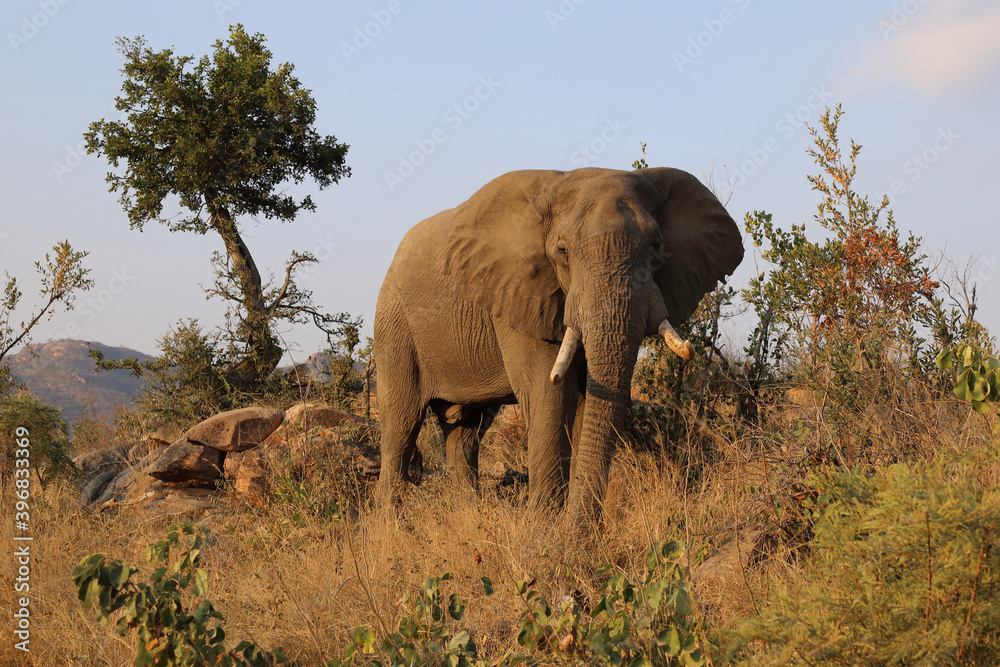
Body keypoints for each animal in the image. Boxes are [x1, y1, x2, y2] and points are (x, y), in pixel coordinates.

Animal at [374, 167, 743, 521]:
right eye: (562, 252)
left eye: (656, 246)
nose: (579, 529)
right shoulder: (520, 294)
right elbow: (549, 392)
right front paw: (546, 532)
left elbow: (586, 397)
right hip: (394, 326)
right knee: (401, 426)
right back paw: (392, 530)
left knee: (464, 434)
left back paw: (468, 520)